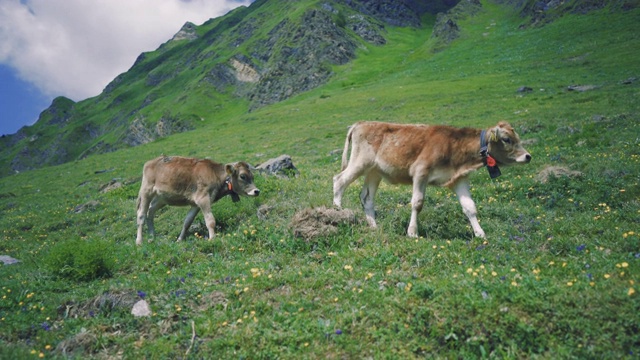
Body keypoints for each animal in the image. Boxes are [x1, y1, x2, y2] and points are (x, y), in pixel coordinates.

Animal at [332, 121, 532, 239]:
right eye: (506, 139)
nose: (528, 156)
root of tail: (361, 123)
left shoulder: (458, 178)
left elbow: (469, 207)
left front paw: (480, 233)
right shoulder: (420, 171)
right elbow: (417, 203)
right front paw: (412, 232)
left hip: (375, 171)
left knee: (366, 197)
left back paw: (373, 226)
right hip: (360, 161)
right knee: (339, 180)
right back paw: (338, 211)